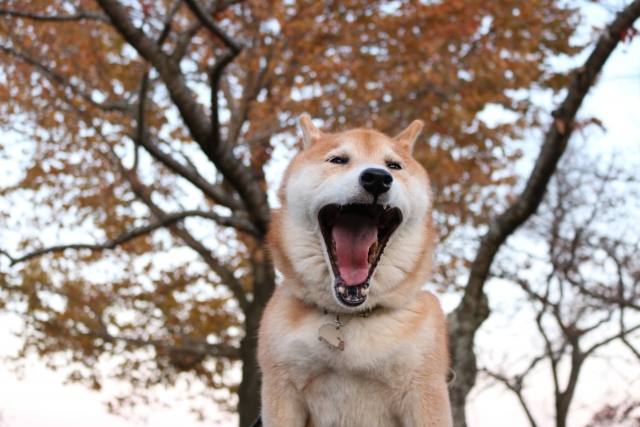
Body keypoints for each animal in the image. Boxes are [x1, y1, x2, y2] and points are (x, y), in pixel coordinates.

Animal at [258, 115, 452, 426]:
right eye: (338, 160)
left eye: (394, 166)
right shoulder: (281, 393)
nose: (377, 178)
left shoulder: (425, 394)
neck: (350, 315)